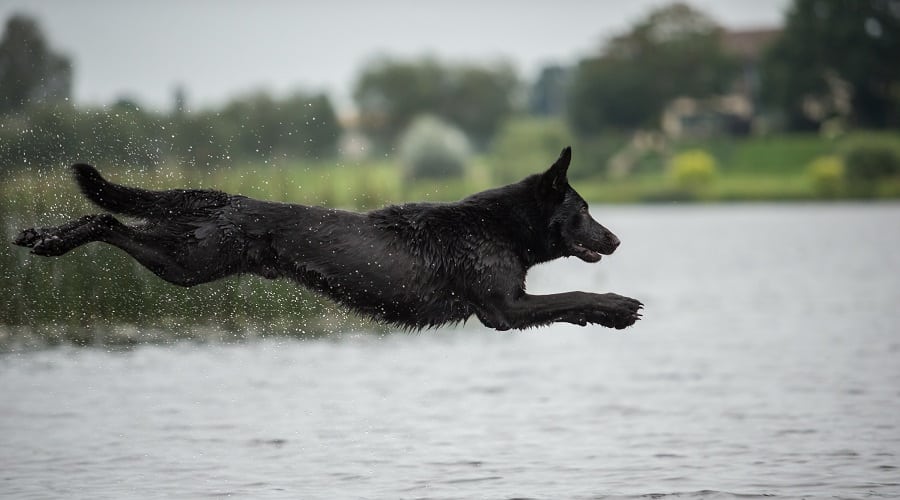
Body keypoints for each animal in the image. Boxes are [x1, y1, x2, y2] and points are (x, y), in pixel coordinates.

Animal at [15, 146, 648, 330]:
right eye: (584, 210)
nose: (617, 240)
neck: (498, 225)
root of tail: (230, 199)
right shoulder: (504, 309)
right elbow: (571, 297)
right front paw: (617, 308)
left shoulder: (509, 309)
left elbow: (567, 304)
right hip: (188, 263)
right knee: (108, 223)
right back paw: (51, 241)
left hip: (185, 253)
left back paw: (41, 236)